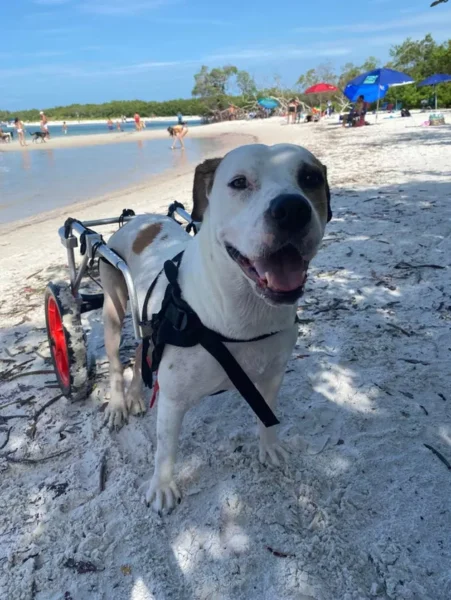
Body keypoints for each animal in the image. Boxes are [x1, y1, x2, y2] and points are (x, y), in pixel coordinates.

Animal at [100, 143, 332, 512]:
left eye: (310, 178)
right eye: (238, 182)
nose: (291, 209)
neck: (241, 315)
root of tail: (138, 219)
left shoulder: (272, 376)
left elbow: (267, 416)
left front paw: (269, 446)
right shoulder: (172, 400)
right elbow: (165, 449)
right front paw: (162, 487)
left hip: (148, 322)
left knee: (139, 348)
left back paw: (135, 395)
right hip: (113, 304)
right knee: (114, 358)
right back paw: (119, 405)